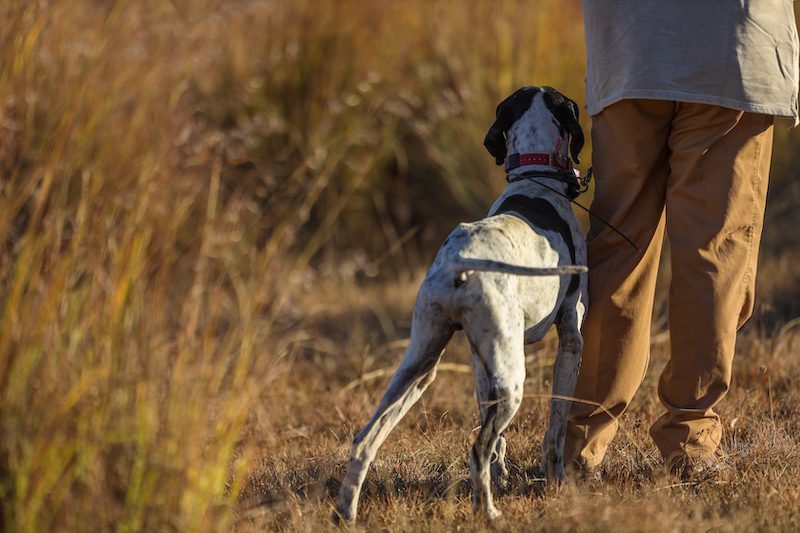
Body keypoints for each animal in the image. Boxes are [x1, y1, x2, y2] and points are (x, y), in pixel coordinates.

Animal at [334, 85, 592, 520]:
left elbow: (496, 433)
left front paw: (503, 474)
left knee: (365, 438)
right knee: (476, 449)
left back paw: (345, 512)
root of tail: (460, 262)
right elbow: (555, 430)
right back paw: (487, 512)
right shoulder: (571, 340)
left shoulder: (480, 357)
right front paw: (556, 480)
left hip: (421, 364)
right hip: (512, 379)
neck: (536, 180)